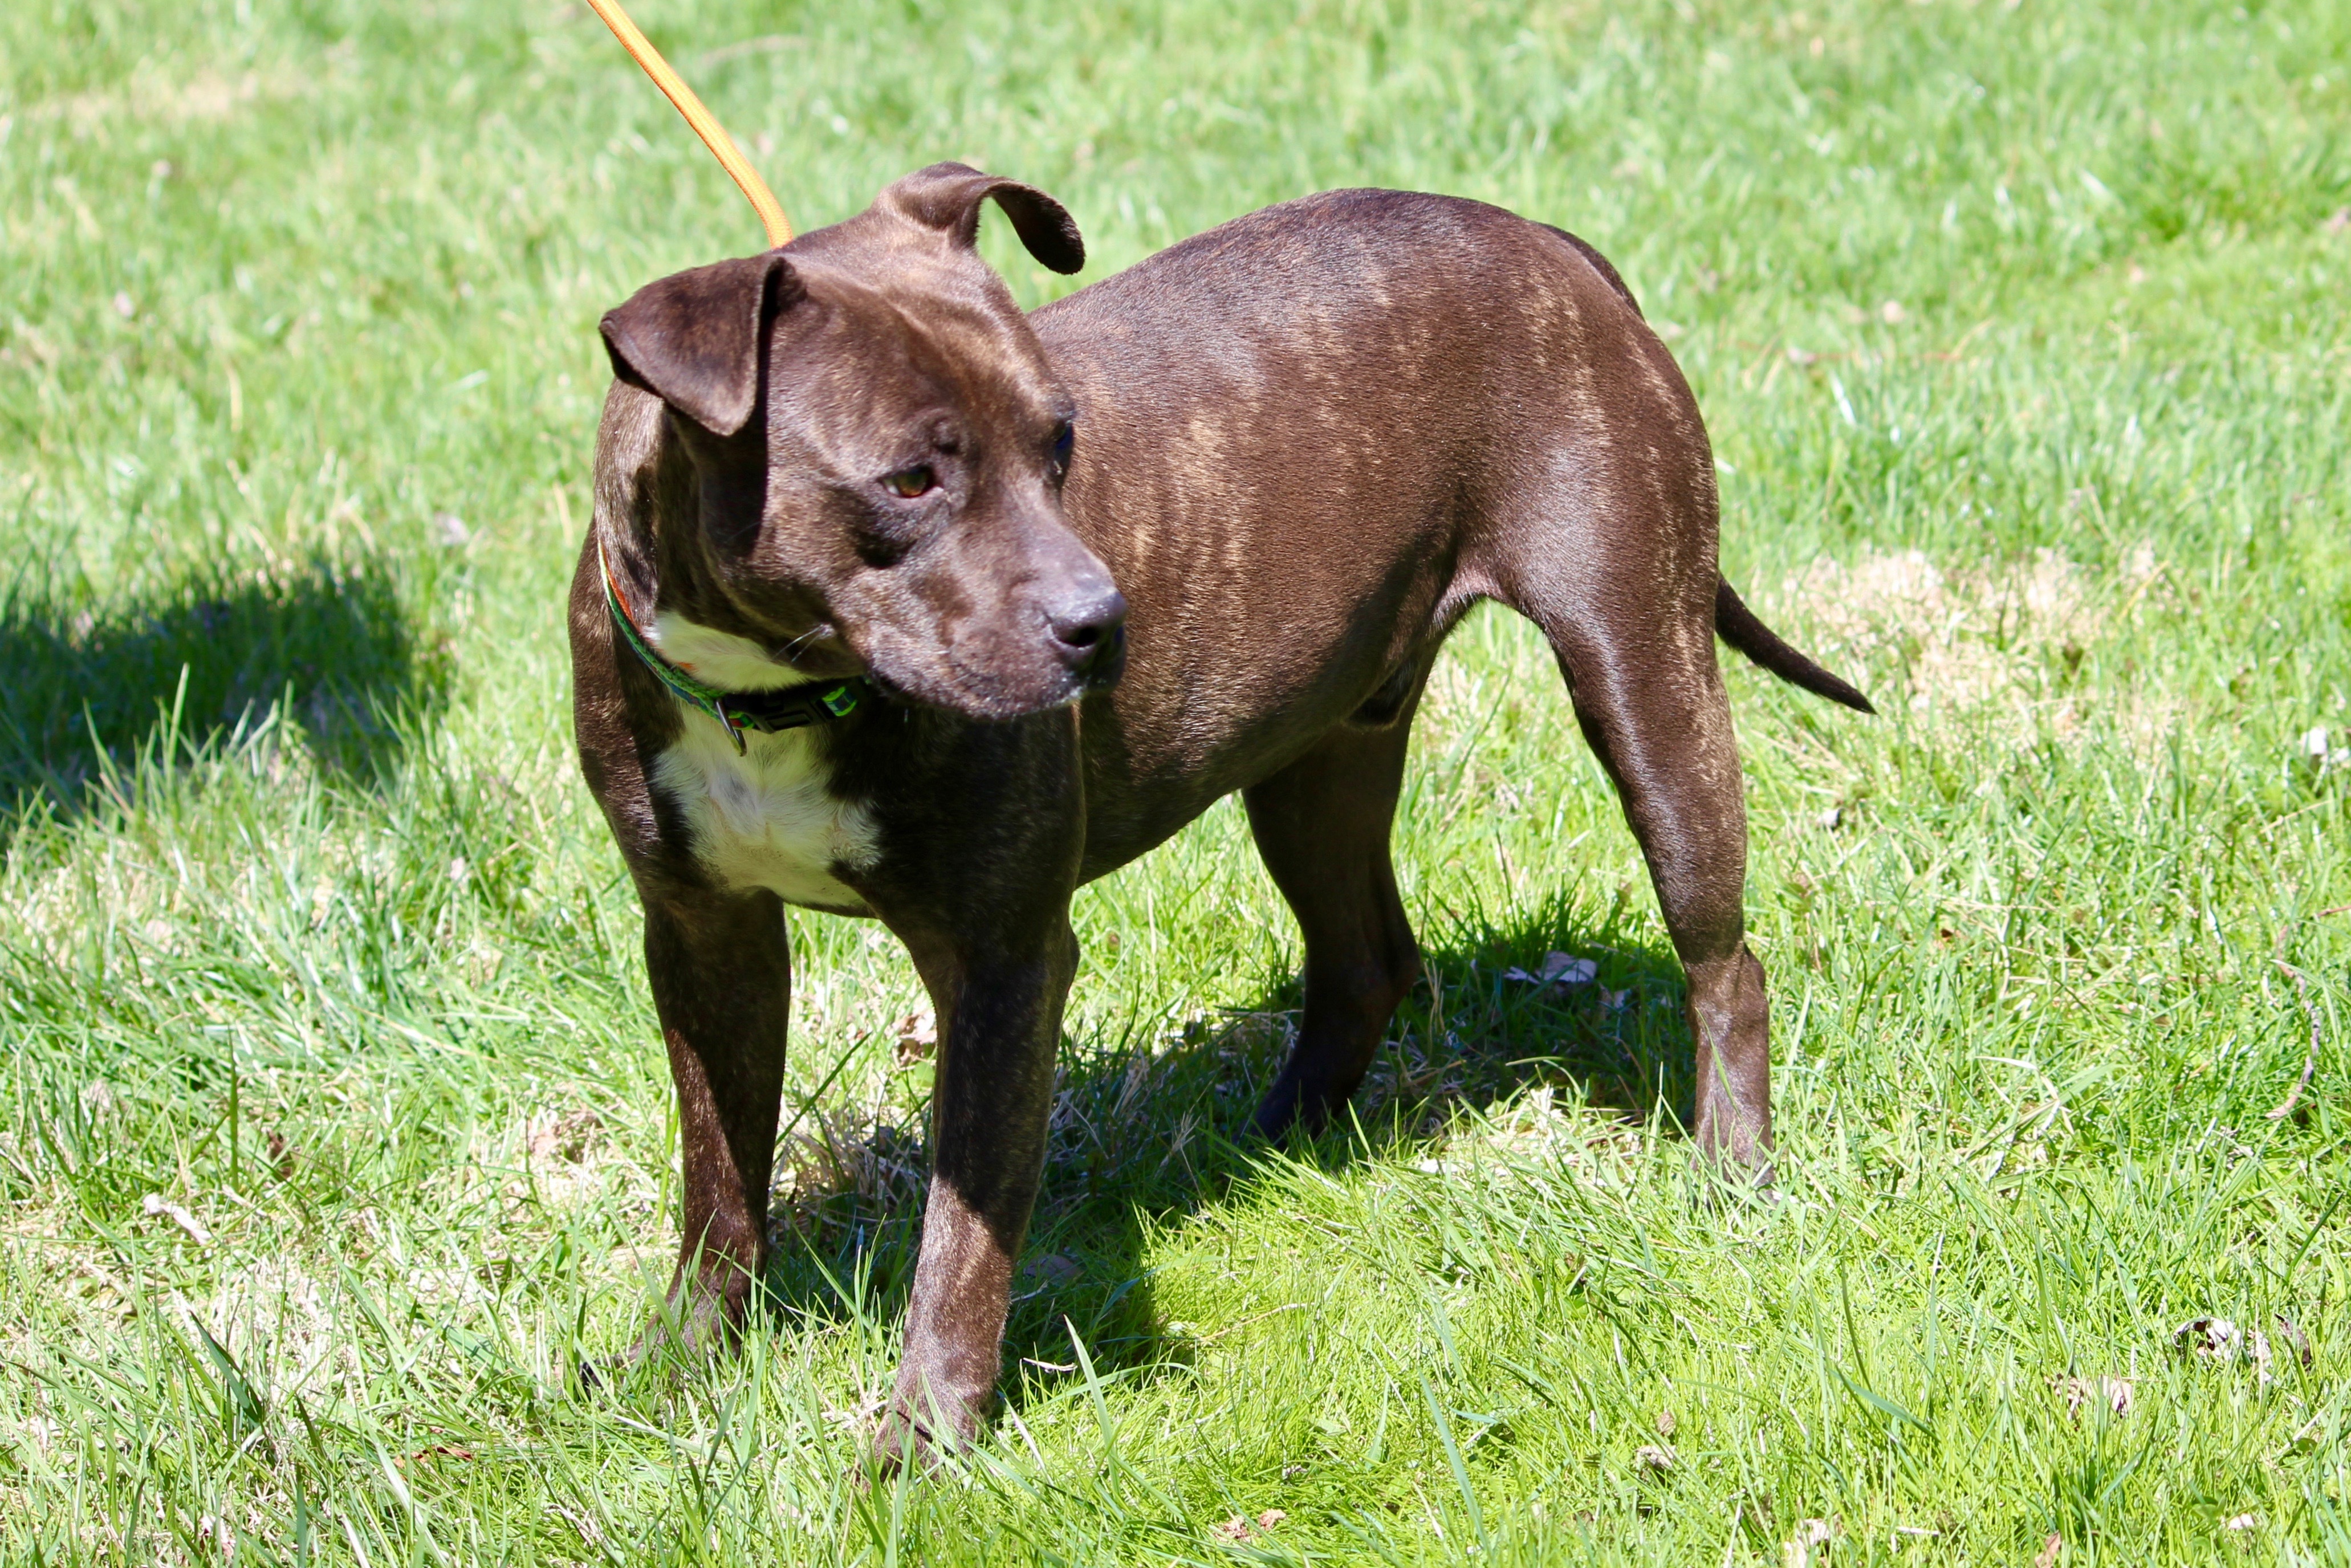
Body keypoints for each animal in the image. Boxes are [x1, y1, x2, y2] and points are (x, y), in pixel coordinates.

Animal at [569, 165, 1871, 1467]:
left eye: (1060, 442)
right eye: (908, 480)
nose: (1101, 621)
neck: (767, 693)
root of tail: (1545, 240)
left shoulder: (1002, 957)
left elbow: (963, 1234)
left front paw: (922, 1441)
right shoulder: (704, 936)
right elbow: (720, 1179)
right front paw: (680, 1364)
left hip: (1641, 679)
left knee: (1722, 964)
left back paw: (1730, 1172)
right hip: (1311, 768)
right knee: (1363, 957)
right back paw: (1271, 1142)